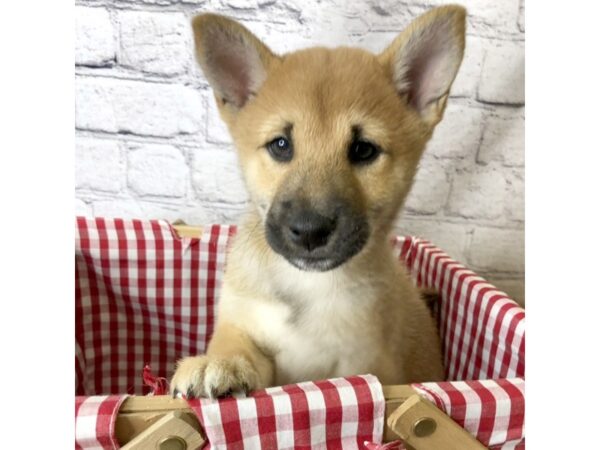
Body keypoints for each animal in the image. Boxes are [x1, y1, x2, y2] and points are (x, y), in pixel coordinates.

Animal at [171, 3, 466, 398]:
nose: (310, 231)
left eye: (363, 149)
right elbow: (236, 345)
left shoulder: (366, 362)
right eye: (281, 145)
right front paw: (220, 364)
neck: (307, 286)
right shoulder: (243, 323)